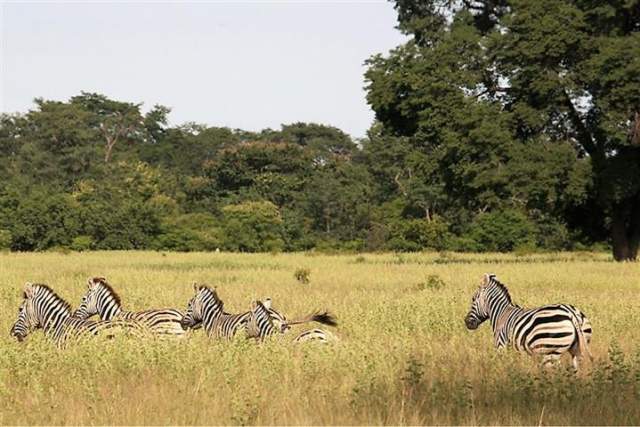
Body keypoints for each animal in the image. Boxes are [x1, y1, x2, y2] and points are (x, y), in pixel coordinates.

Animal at [464, 274, 596, 372]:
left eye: (473, 299)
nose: (467, 322)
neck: (501, 314)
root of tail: (570, 312)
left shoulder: (502, 347)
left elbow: (507, 369)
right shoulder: (518, 352)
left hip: (550, 352)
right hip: (576, 349)